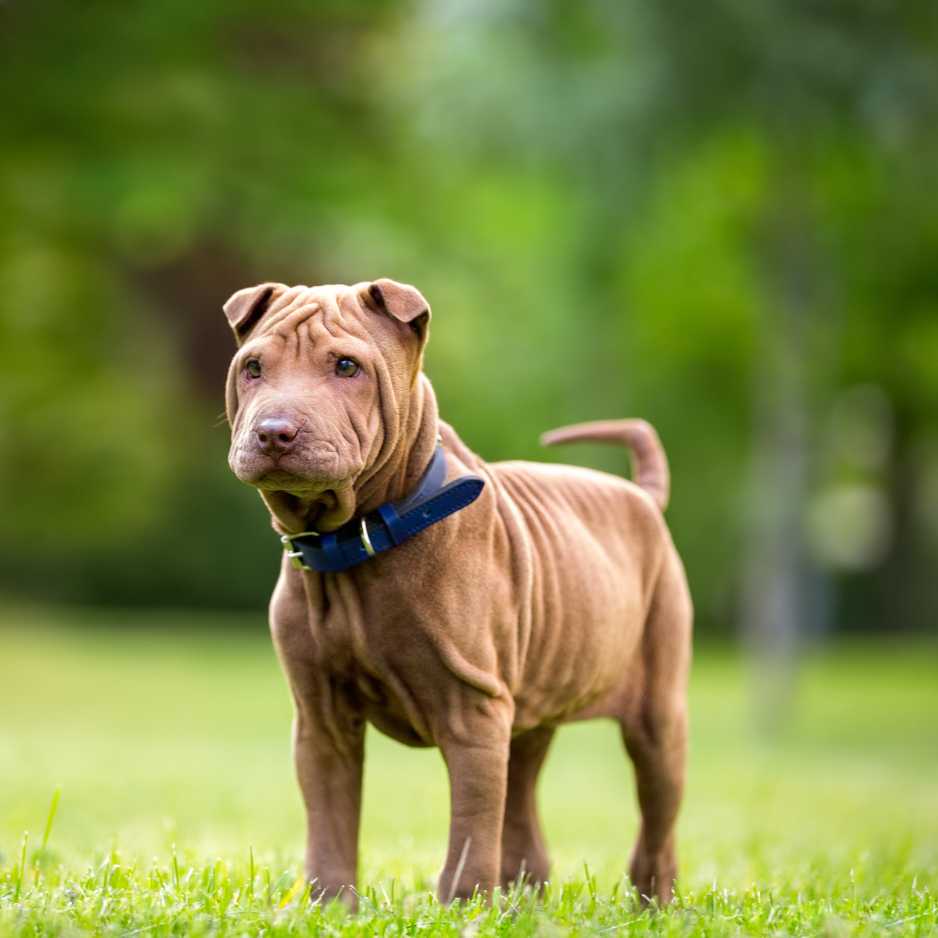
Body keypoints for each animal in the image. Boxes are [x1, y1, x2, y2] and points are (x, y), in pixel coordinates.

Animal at [219, 276, 688, 900]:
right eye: (253, 368)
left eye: (346, 366)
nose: (274, 432)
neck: (356, 542)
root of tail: (642, 498)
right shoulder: (321, 720)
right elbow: (330, 826)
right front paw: (329, 907)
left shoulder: (473, 714)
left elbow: (470, 830)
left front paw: (462, 907)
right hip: (528, 714)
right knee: (525, 821)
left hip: (657, 714)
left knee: (655, 828)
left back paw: (651, 904)